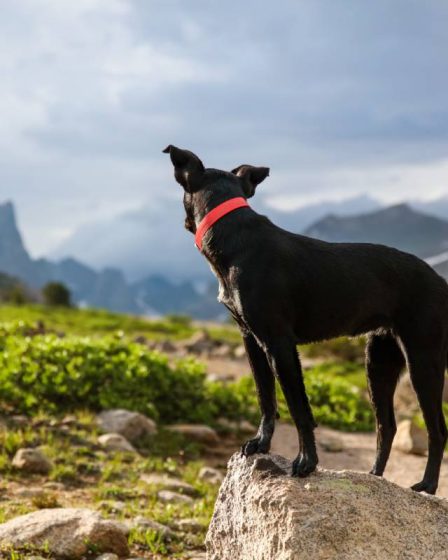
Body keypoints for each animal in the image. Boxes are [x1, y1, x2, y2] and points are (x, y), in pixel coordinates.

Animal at [164, 144, 448, 494]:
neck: (234, 235)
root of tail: (441, 282)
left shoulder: (280, 344)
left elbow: (299, 408)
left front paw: (306, 462)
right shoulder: (252, 341)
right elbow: (266, 399)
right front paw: (261, 444)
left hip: (423, 360)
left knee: (437, 429)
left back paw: (428, 486)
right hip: (379, 361)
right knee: (387, 427)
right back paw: (374, 477)